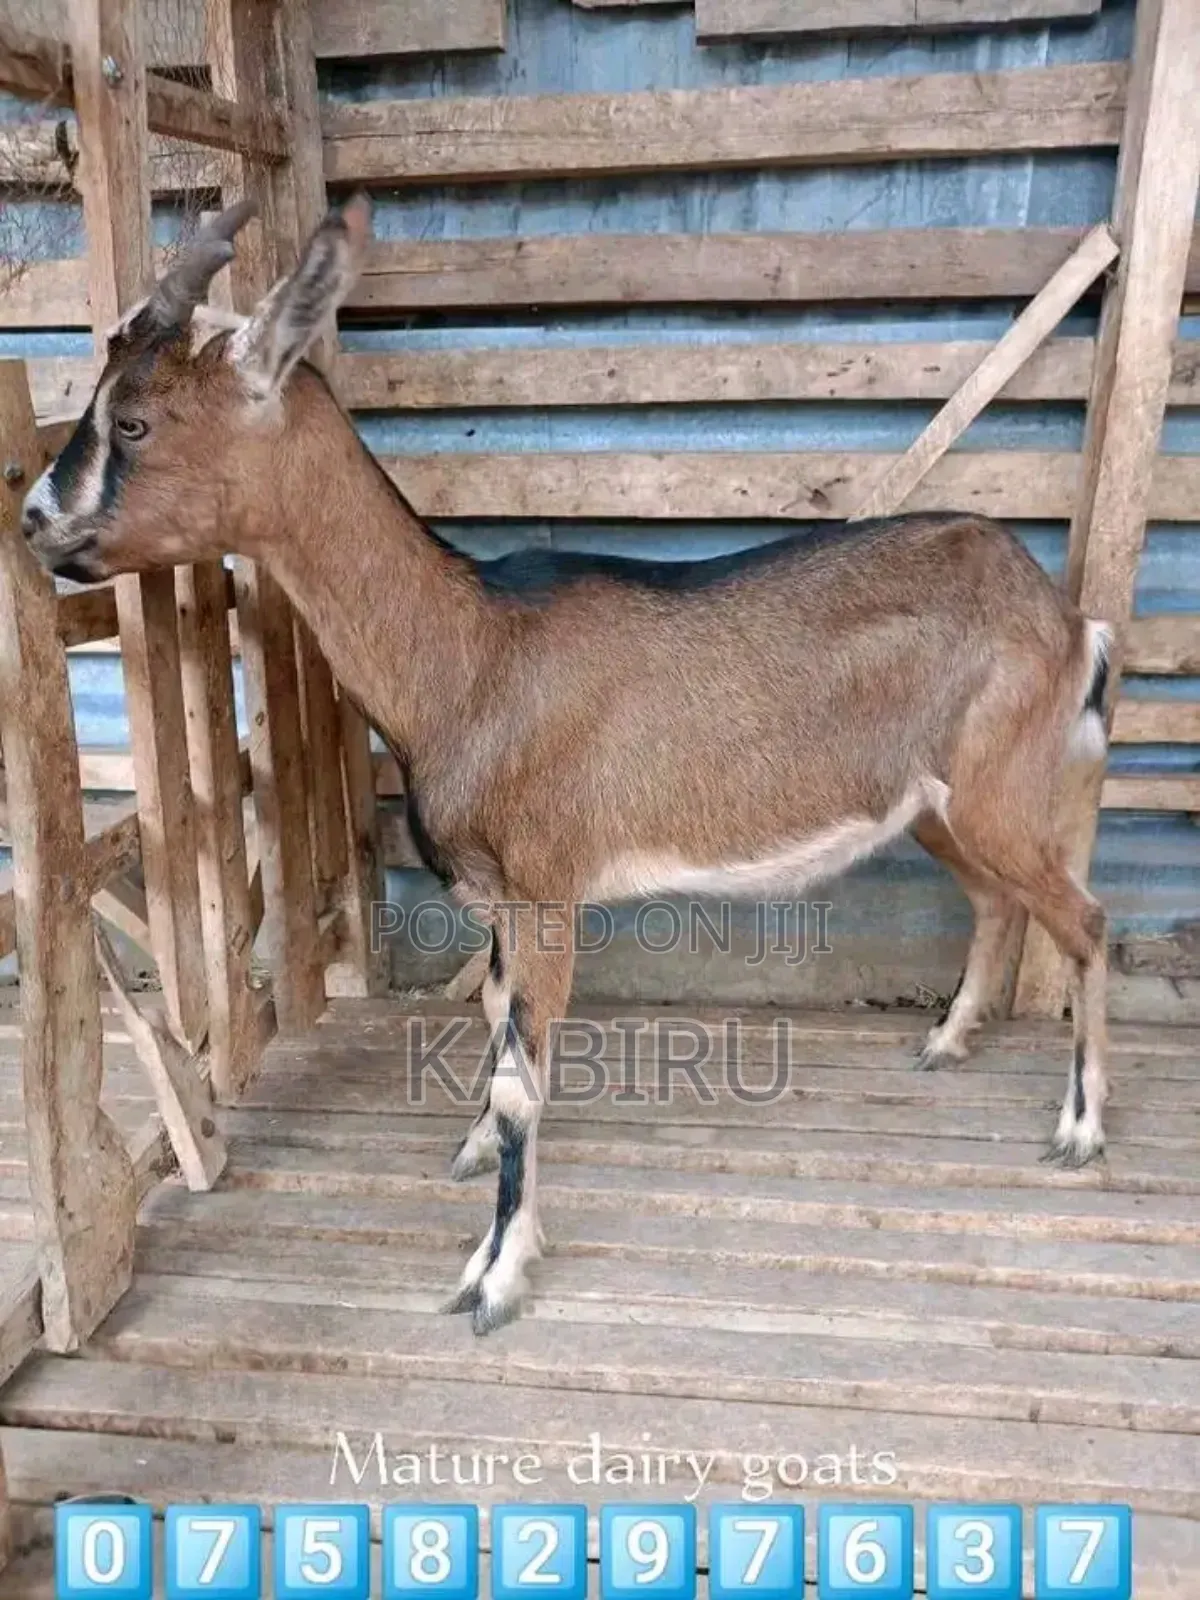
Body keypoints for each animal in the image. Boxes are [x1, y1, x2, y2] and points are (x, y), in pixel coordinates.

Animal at [22, 197, 1114, 1335]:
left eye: (133, 421)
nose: (35, 522)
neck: (469, 655)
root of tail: (1066, 617)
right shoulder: (500, 901)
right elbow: (502, 1032)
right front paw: (473, 1155)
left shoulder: (547, 889)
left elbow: (520, 1079)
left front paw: (495, 1273)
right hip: (945, 803)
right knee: (999, 903)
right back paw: (947, 1043)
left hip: (998, 788)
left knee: (1084, 921)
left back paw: (1080, 1129)